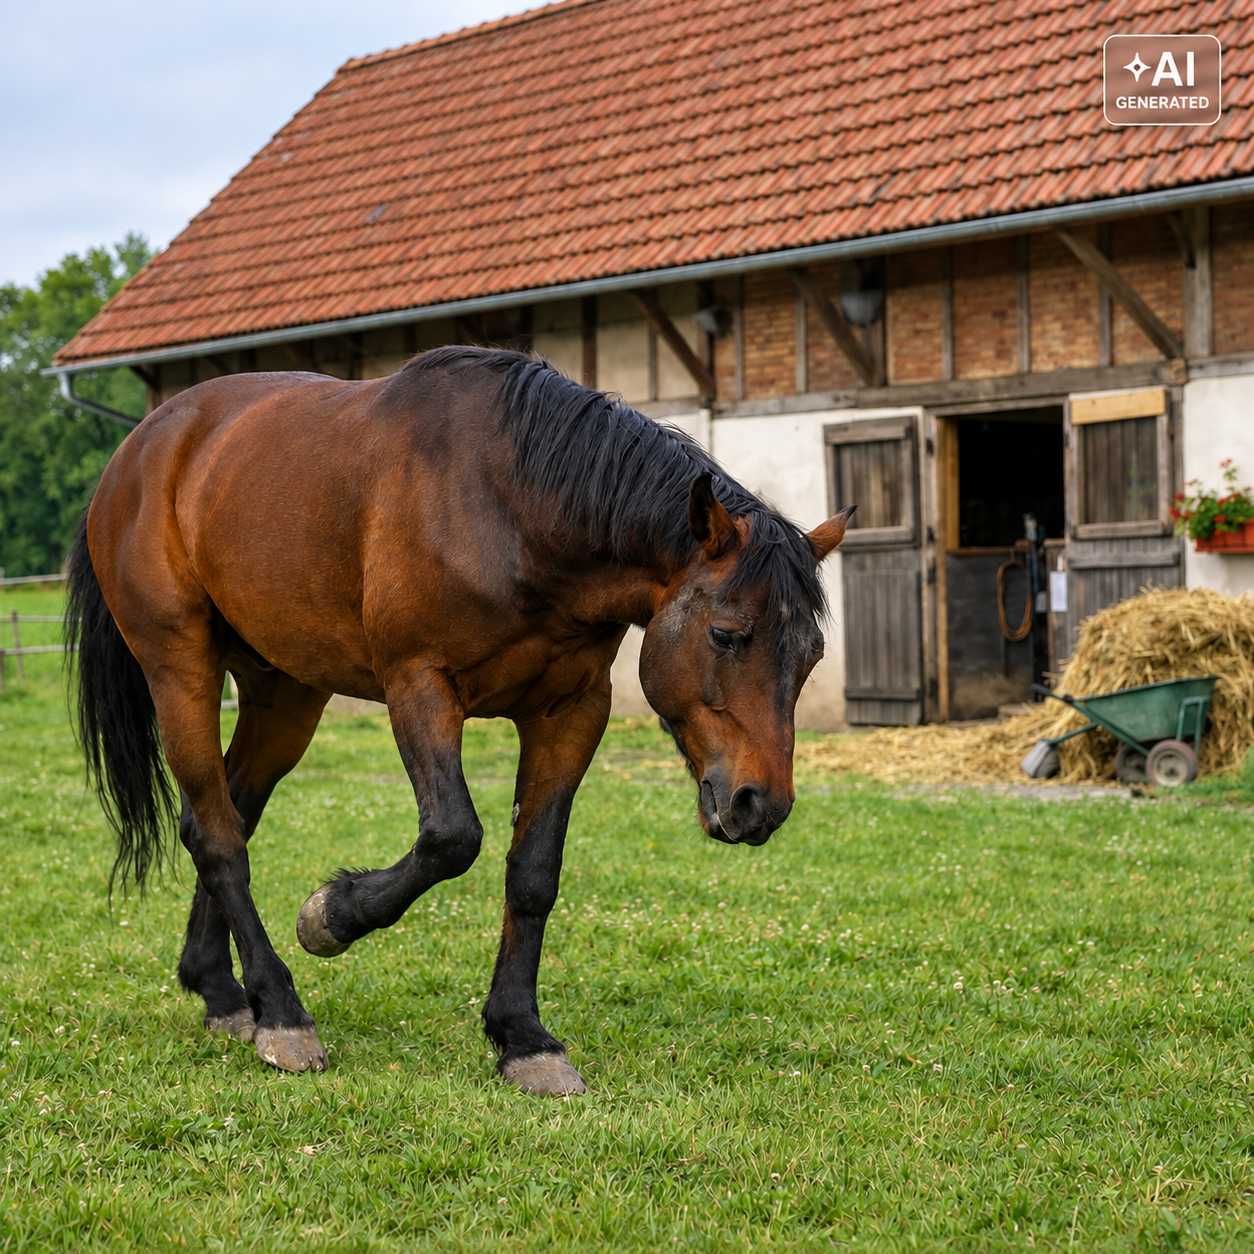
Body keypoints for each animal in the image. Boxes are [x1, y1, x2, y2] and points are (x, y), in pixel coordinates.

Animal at [66, 345, 852, 1096]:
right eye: (726, 635)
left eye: (811, 654)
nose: (759, 805)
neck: (514, 509)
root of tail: (141, 450)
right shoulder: (420, 684)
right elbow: (452, 838)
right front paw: (330, 916)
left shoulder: (570, 711)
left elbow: (533, 873)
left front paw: (524, 1039)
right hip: (181, 669)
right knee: (219, 836)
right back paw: (282, 1012)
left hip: (283, 693)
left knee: (225, 816)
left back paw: (224, 994)